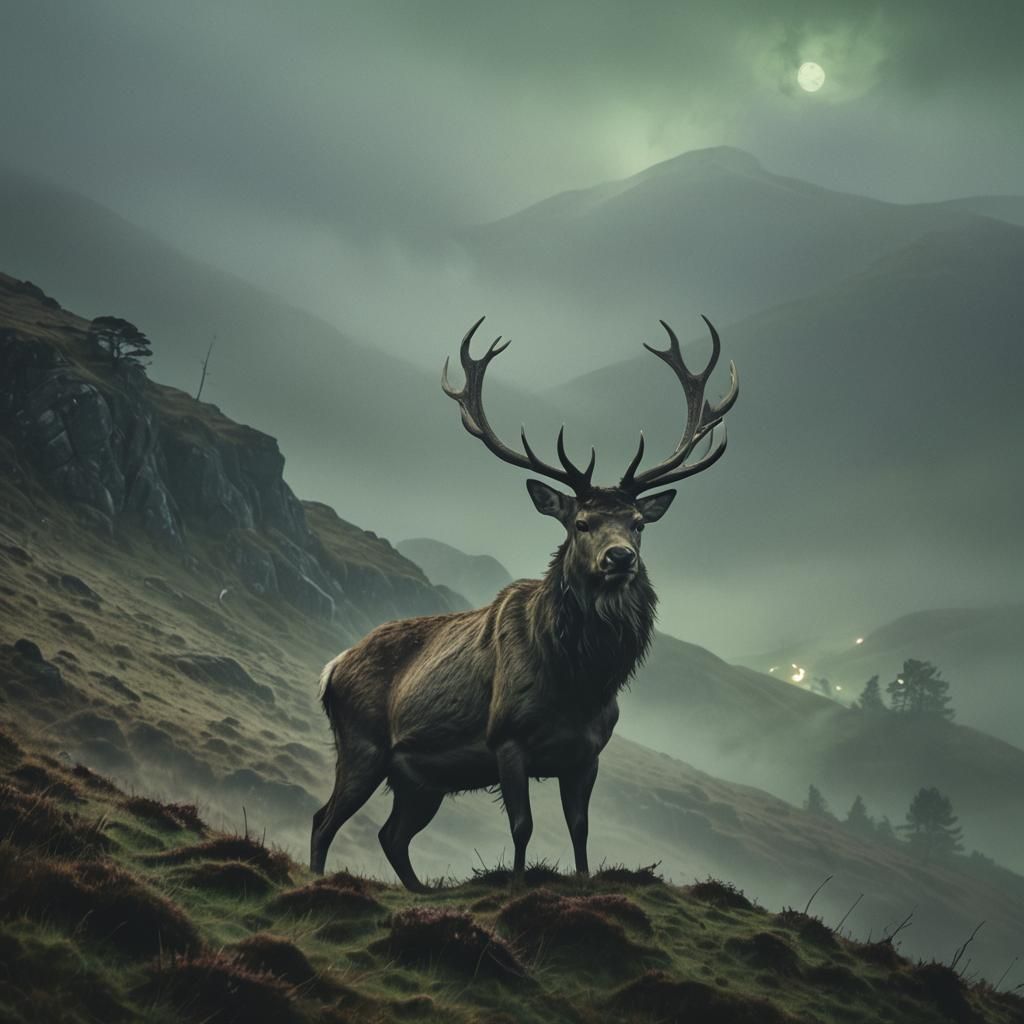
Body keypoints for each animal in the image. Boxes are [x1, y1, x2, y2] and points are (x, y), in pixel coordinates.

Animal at [310, 315, 738, 890]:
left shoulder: (587, 753)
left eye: (638, 524)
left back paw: (423, 892)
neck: (579, 682)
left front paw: (582, 883)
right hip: (363, 745)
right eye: (581, 523)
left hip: (419, 779)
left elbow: (579, 828)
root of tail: (331, 668)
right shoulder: (506, 739)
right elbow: (522, 826)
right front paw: (515, 886)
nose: (620, 558)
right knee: (323, 820)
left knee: (391, 835)